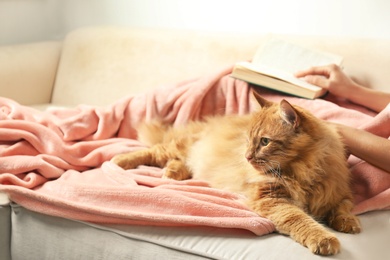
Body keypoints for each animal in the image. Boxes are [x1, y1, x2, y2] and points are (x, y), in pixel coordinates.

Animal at [112, 92, 360, 255]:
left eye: (265, 142)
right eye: (248, 140)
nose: (247, 157)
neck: (305, 170)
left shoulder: (338, 192)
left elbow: (343, 208)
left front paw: (348, 223)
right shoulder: (272, 198)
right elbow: (300, 219)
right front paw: (323, 238)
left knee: (181, 163)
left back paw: (173, 173)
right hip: (181, 146)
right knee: (154, 151)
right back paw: (119, 161)